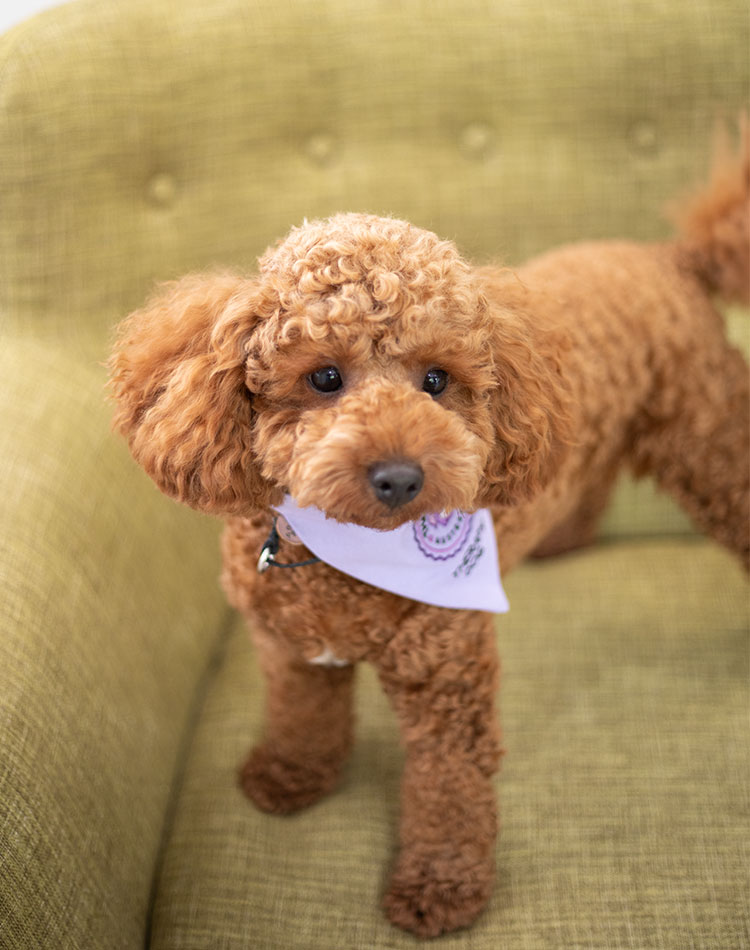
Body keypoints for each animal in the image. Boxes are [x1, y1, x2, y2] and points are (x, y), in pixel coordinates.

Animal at [108, 132, 748, 936]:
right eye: (324, 377)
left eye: (437, 381)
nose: (400, 478)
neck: (339, 560)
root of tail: (672, 256)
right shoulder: (288, 648)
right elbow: (301, 715)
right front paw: (290, 776)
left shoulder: (449, 680)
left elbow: (448, 791)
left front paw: (440, 888)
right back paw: (562, 537)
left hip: (711, 443)